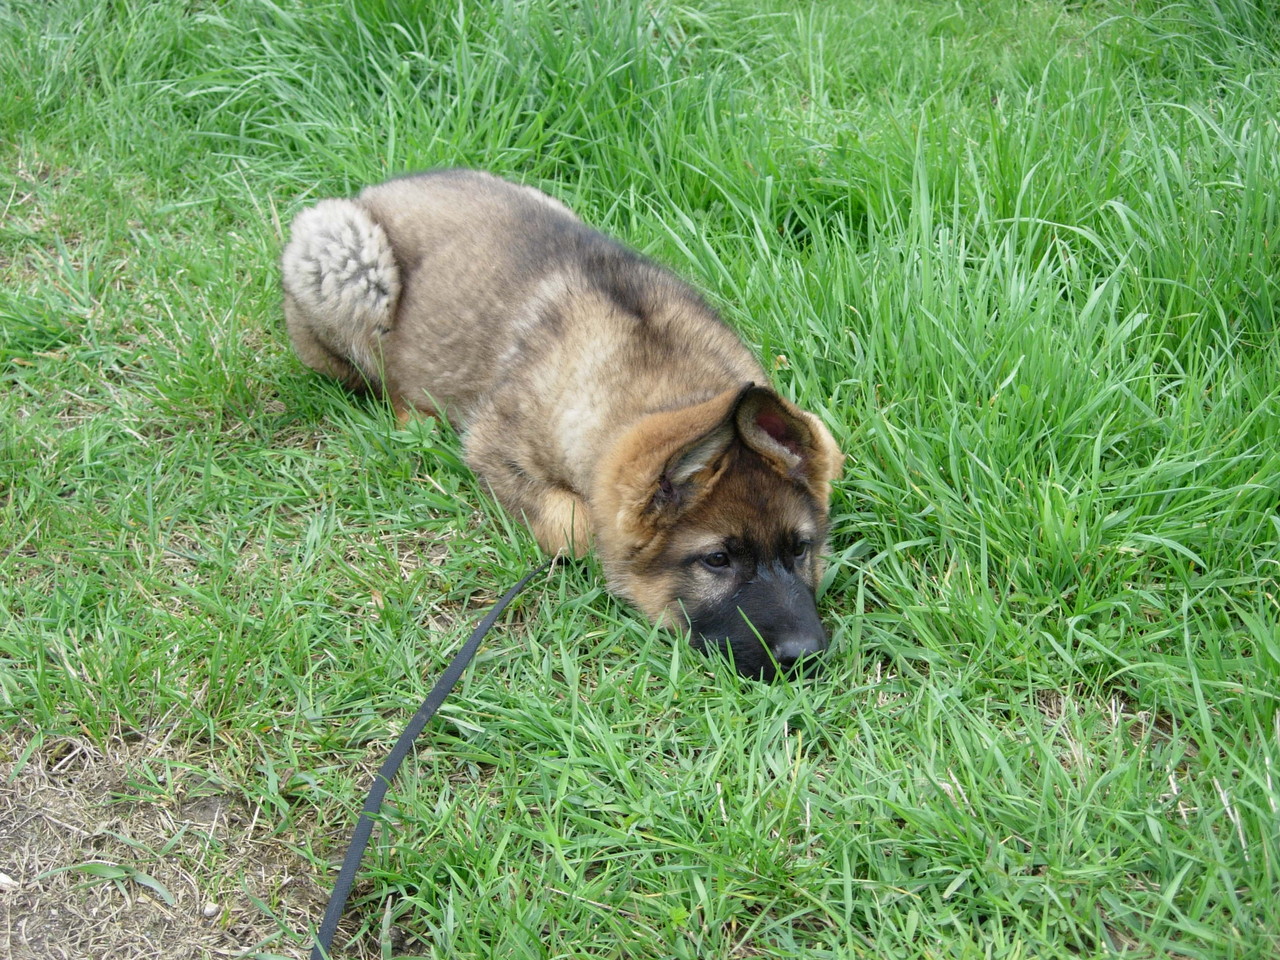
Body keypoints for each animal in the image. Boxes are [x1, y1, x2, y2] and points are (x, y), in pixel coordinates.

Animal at [282, 168, 839, 680]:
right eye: (717, 559)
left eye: (800, 548)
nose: (805, 656)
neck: (658, 374)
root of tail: (373, 190)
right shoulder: (492, 448)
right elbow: (575, 526)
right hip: (343, 256)